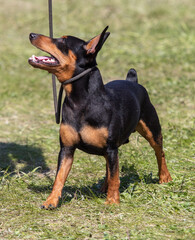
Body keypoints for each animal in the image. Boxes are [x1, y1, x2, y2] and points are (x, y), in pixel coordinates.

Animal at [28, 26, 171, 209]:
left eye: (62, 41)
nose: (32, 34)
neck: (81, 101)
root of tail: (133, 80)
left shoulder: (111, 148)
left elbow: (115, 176)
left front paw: (112, 201)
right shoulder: (67, 148)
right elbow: (59, 177)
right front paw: (51, 201)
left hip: (151, 129)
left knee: (159, 152)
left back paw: (164, 177)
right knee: (109, 167)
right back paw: (104, 187)